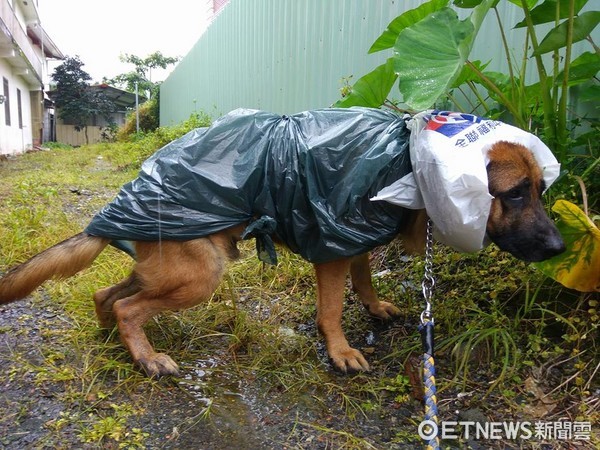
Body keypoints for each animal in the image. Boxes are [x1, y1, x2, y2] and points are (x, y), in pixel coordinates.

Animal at [0, 140, 564, 376]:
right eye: (514, 194)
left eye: (540, 190)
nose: (560, 248)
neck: (411, 159)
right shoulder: (331, 251)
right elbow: (332, 308)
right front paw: (339, 351)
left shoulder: (352, 241)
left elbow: (365, 281)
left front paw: (375, 309)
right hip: (201, 275)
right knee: (125, 306)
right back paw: (145, 356)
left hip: (172, 270)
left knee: (105, 294)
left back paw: (113, 342)